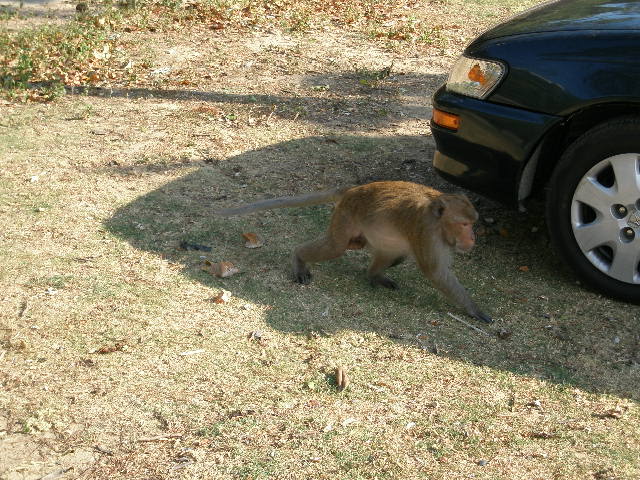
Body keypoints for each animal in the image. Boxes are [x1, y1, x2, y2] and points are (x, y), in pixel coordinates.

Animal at [217, 181, 492, 323]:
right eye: (464, 224)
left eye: (473, 223)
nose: (473, 237)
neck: (437, 217)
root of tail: (352, 190)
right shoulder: (427, 232)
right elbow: (435, 272)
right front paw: (475, 310)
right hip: (345, 216)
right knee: (335, 247)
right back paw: (299, 258)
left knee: (394, 252)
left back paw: (374, 275)